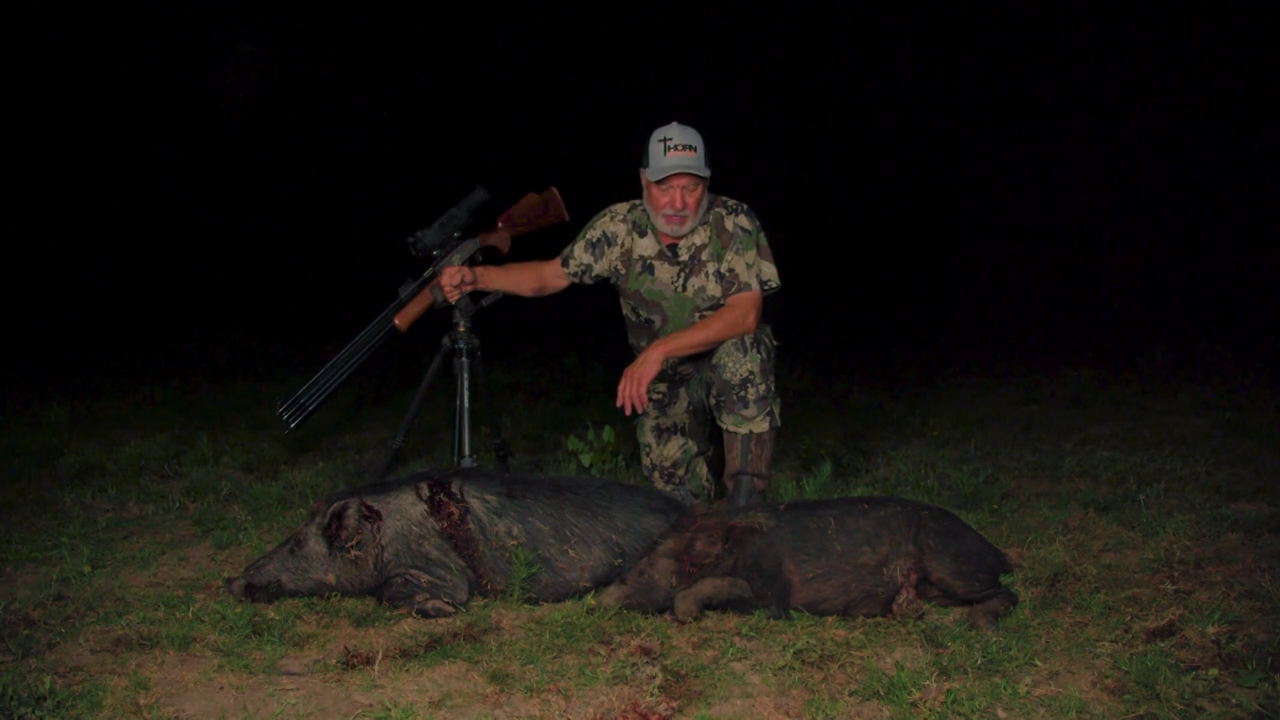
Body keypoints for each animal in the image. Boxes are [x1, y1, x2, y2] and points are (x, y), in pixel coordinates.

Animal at [594, 496, 1019, 630]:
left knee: (1008, 593)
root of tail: (997, 551)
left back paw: (977, 622)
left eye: (643, 571)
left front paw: (684, 613)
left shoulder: (772, 589)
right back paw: (905, 607)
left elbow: (731, 588)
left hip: (950, 563)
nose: (597, 600)